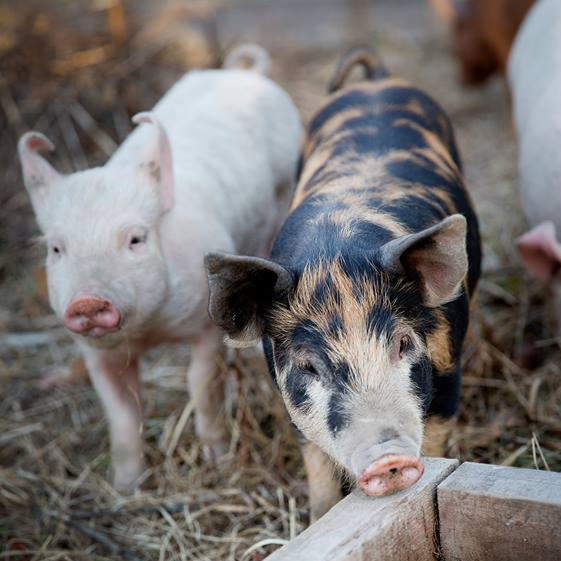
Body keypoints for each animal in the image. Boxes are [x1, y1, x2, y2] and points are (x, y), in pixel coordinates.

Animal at [18, 43, 302, 488]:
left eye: (136, 238)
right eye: (57, 249)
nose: (87, 301)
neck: (149, 331)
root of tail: (241, 72)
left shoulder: (207, 323)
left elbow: (202, 385)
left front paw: (218, 461)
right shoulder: (96, 353)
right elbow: (121, 411)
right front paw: (125, 485)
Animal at [206, 48, 482, 520]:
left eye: (403, 343)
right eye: (308, 366)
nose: (388, 459)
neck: (336, 251)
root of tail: (375, 80)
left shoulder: (449, 371)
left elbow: (436, 441)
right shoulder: (290, 400)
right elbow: (317, 471)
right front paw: (318, 517)